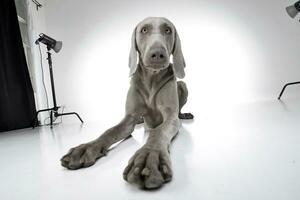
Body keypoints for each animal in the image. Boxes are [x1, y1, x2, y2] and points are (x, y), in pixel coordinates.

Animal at [61, 17, 193, 189]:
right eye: (144, 30)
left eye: (167, 30)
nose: (158, 54)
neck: (151, 78)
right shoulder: (129, 119)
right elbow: (109, 131)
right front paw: (85, 148)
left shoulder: (170, 118)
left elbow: (158, 131)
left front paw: (149, 157)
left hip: (182, 85)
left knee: (178, 107)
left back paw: (184, 114)